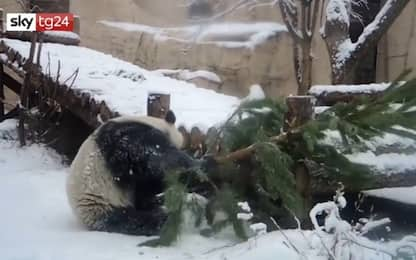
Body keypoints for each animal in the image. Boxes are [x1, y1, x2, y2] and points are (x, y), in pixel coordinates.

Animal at [66, 110, 196, 237]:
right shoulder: (123, 138)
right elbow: (146, 151)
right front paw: (186, 162)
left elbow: (149, 182)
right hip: (103, 206)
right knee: (139, 220)